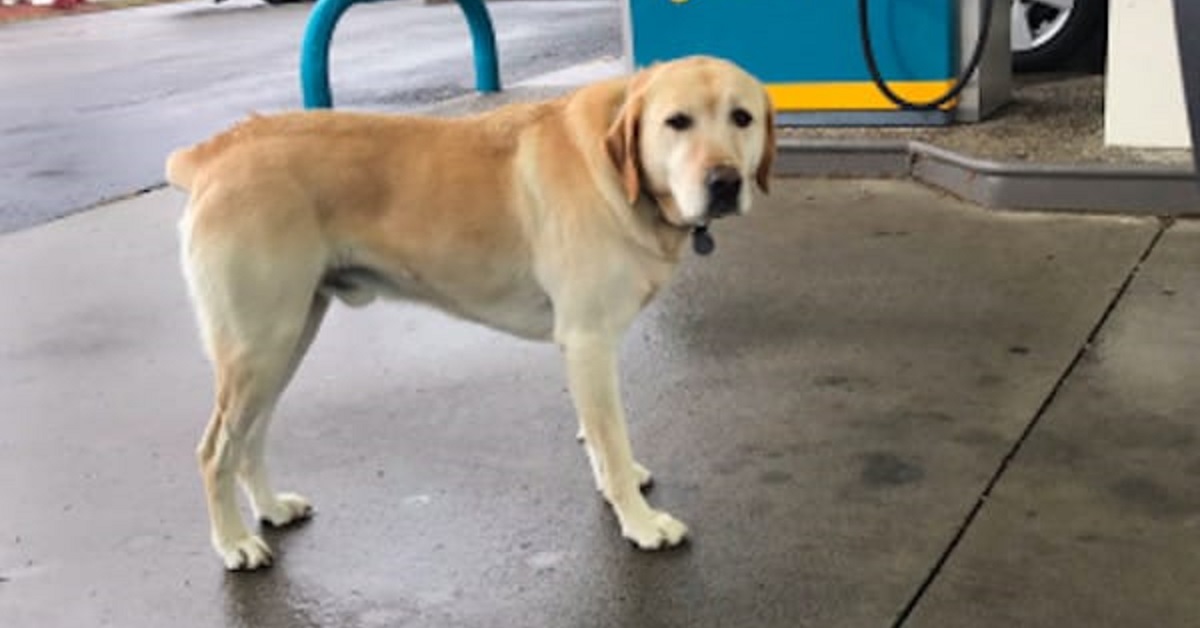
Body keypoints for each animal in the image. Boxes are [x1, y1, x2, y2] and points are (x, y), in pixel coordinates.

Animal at [166, 56, 768, 571]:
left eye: (742, 118)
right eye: (676, 122)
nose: (725, 182)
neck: (620, 172)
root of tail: (216, 152)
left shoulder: (583, 348)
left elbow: (599, 441)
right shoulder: (589, 340)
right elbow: (612, 443)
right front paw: (640, 524)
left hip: (286, 339)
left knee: (250, 438)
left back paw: (269, 509)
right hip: (261, 344)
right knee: (215, 450)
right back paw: (234, 542)